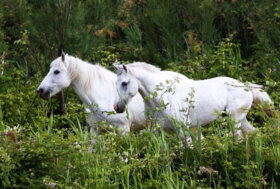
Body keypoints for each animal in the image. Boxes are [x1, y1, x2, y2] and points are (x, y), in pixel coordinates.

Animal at [113, 62, 272, 137]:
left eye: (124, 83)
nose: (116, 107)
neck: (162, 97)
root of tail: (245, 86)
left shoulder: (182, 129)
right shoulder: (158, 131)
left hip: (235, 120)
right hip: (241, 120)